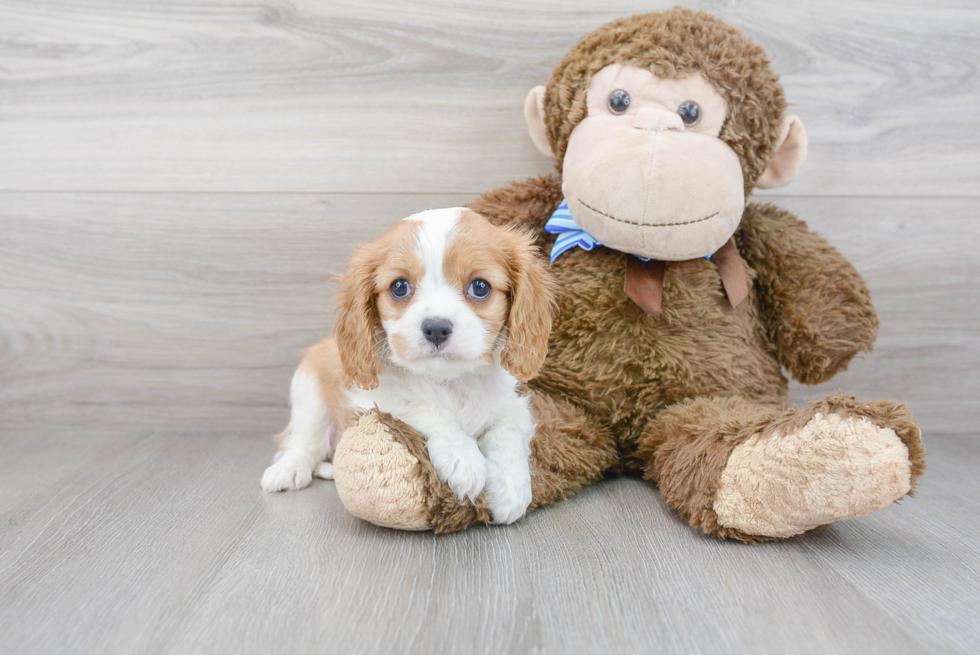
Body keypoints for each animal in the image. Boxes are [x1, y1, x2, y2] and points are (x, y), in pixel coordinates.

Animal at [260, 208, 556, 524]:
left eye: (480, 287)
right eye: (399, 287)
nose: (436, 328)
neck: (449, 382)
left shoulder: (513, 405)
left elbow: (508, 431)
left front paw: (510, 487)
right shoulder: (376, 401)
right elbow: (430, 409)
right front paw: (463, 458)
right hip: (309, 394)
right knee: (303, 442)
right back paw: (289, 469)